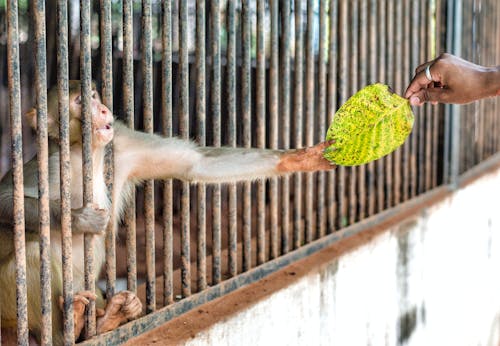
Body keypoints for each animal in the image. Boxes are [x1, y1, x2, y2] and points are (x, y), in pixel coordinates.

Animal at [0, 80, 336, 344]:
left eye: (94, 94)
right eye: (81, 101)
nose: (105, 110)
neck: (85, 154)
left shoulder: (121, 144)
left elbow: (196, 163)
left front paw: (301, 159)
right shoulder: (48, 166)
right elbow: (7, 200)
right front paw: (80, 218)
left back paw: (107, 318)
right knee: (32, 252)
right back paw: (75, 325)